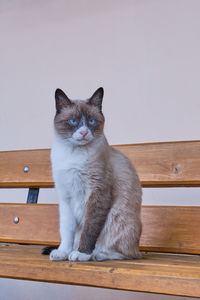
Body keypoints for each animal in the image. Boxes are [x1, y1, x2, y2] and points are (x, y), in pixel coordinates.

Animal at [44, 86, 143, 260]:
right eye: (73, 121)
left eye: (91, 121)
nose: (84, 132)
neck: (72, 154)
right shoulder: (66, 198)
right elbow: (66, 231)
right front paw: (62, 252)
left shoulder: (97, 193)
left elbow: (89, 229)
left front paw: (81, 253)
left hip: (116, 217)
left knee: (124, 253)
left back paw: (95, 254)